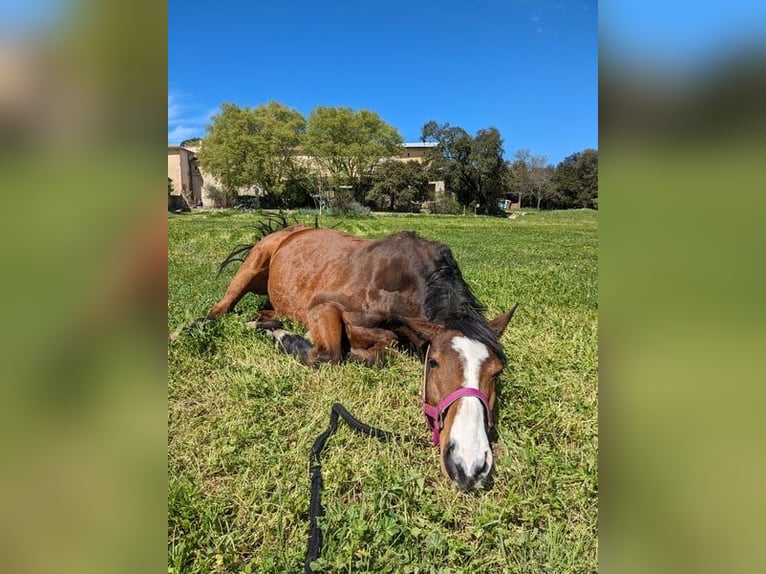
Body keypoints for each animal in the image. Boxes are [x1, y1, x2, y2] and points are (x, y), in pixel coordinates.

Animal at [200, 219, 517, 491]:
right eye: (434, 362)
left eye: (497, 371)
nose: (470, 466)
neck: (400, 281)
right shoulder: (323, 307)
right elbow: (331, 353)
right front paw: (286, 338)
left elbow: (386, 345)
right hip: (252, 267)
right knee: (219, 310)